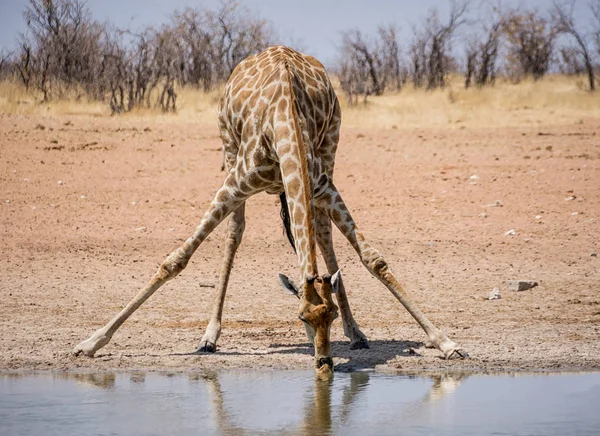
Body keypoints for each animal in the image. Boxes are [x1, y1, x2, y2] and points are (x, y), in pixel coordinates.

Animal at [74, 46, 468, 376]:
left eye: (329, 316)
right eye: (302, 318)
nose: (324, 364)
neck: (285, 125)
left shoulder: (323, 185)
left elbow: (374, 260)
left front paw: (447, 343)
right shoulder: (236, 183)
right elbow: (175, 260)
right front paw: (90, 343)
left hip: (332, 147)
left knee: (322, 234)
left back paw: (356, 333)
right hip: (228, 148)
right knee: (235, 233)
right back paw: (209, 336)